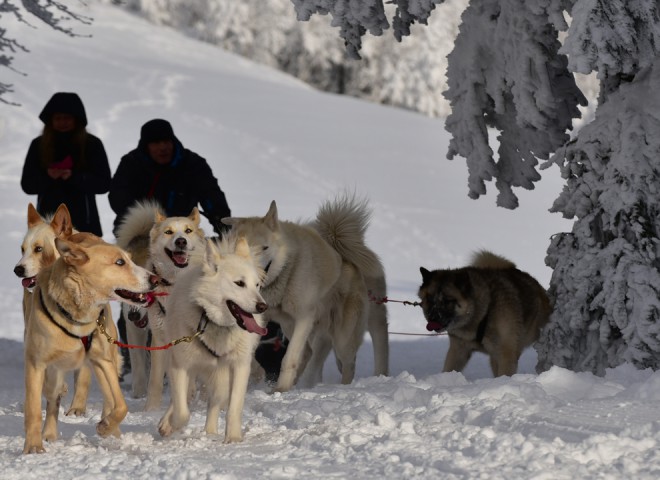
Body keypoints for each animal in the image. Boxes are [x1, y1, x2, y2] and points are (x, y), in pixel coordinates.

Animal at [22, 232, 159, 454]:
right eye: (120, 262)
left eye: (130, 259)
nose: (155, 279)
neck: (77, 317)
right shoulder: (36, 364)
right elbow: (34, 409)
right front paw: (33, 446)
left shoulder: (103, 360)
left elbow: (121, 404)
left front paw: (106, 426)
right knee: (52, 397)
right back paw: (49, 433)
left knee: (108, 399)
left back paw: (112, 431)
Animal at [157, 233, 266, 442]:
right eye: (239, 283)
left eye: (257, 285)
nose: (263, 306)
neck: (213, 323)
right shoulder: (179, 366)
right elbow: (182, 411)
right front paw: (171, 425)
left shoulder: (240, 366)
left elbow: (234, 408)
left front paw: (233, 438)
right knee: (184, 396)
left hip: (221, 376)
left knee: (214, 402)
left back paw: (210, 432)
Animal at [418, 249, 552, 376]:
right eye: (429, 299)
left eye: (447, 301)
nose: (432, 318)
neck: (484, 312)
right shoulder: (458, 350)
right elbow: (448, 369)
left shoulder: (506, 353)